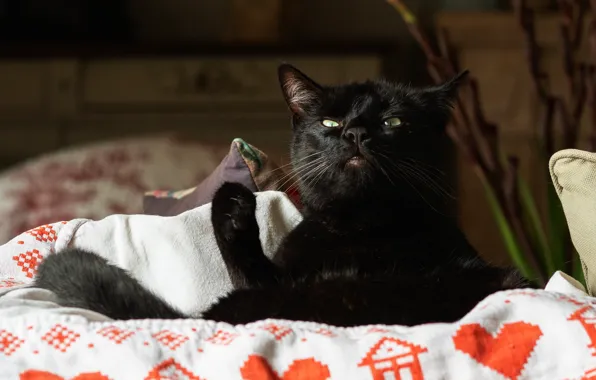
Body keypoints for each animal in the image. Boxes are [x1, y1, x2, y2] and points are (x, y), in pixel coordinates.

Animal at [33, 64, 528, 326]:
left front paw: (234, 202)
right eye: (329, 122)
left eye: (393, 122)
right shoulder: (272, 273)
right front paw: (233, 205)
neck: (362, 224)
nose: (355, 134)